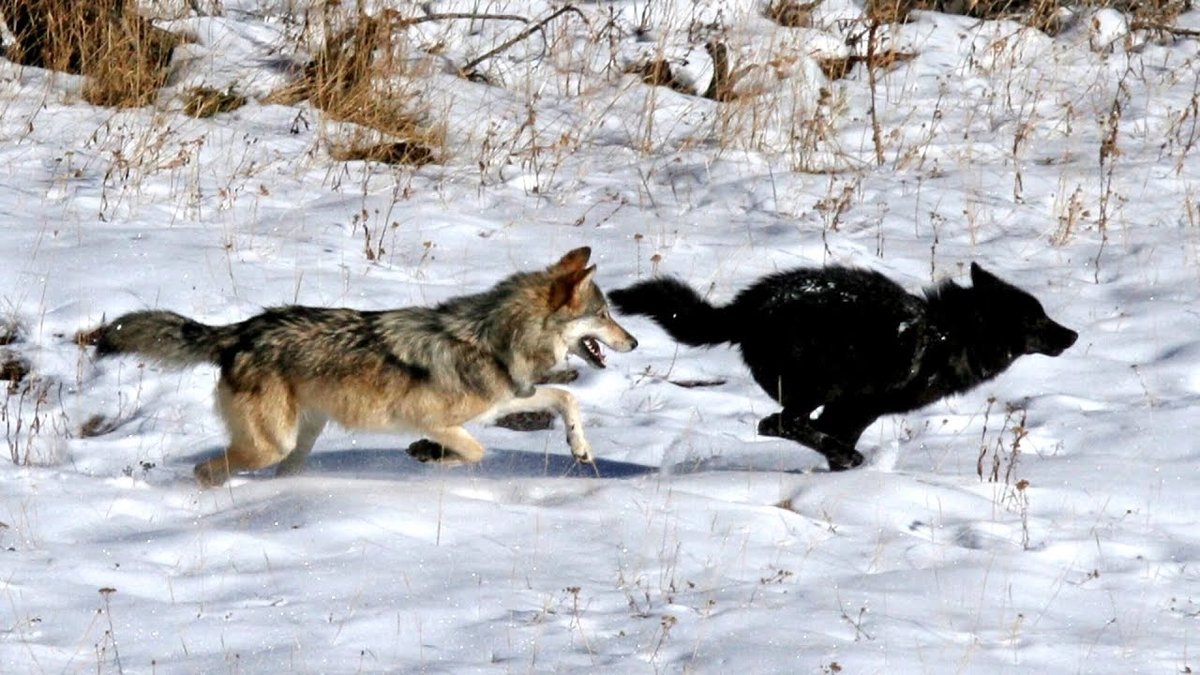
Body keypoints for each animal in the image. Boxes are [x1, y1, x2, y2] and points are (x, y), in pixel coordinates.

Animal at [92, 247, 638, 482]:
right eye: (604, 314)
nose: (633, 340)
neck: (494, 340)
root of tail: (242, 329)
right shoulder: (433, 417)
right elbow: (476, 452)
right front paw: (427, 455)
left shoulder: (505, 400)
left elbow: (566, 397)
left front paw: (581, 449)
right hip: (272, 444)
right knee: (206, 471)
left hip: (296, 444)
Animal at [609, 260, 1080, 470]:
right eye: (1038, 319)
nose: (1073, 335)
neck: (950, 334)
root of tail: (747, 307)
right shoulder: (857, 406)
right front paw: (846, 462)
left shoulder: (852, 412)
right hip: (819, 389)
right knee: (775, 424)